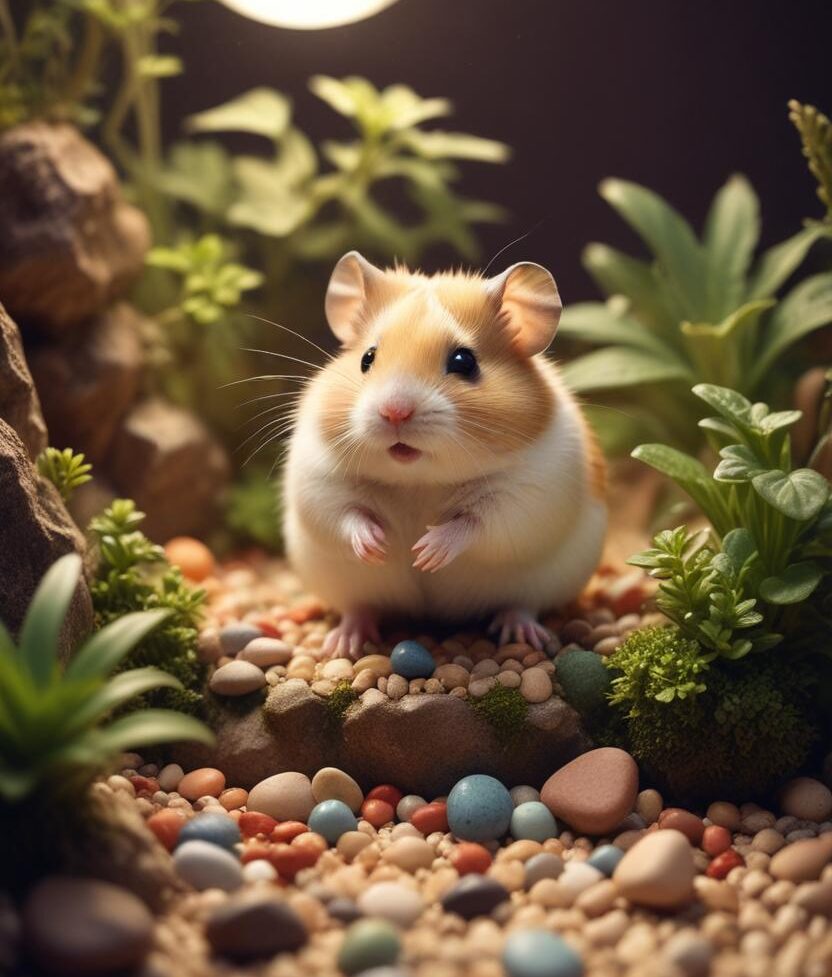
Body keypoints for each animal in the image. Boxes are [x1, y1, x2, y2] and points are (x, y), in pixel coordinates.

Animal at [283, 251, 607, 659]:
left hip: (546, 581)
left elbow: (475, 523)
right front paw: (379, 546)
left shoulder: (529, 494)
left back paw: (524, 633)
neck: (418, 481)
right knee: (358, 607)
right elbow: (346, 516)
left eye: (464, 361)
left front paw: (425, 553)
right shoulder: (319, 479)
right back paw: (343, 643)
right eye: (367, 358)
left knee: (521, 605)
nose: (394, 412)